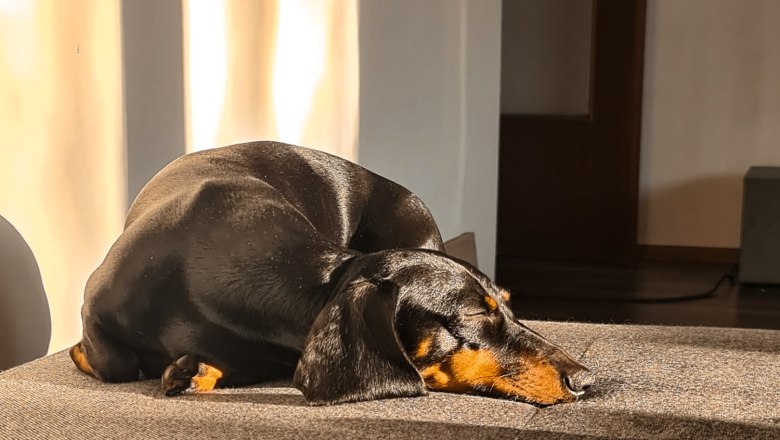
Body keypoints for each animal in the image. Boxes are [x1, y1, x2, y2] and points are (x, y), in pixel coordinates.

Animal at [70, 141, 596, 406]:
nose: (587, 380)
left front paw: (195, 368)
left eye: (507, 305)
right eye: (472, 315)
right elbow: (112, 362)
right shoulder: (93, 301)